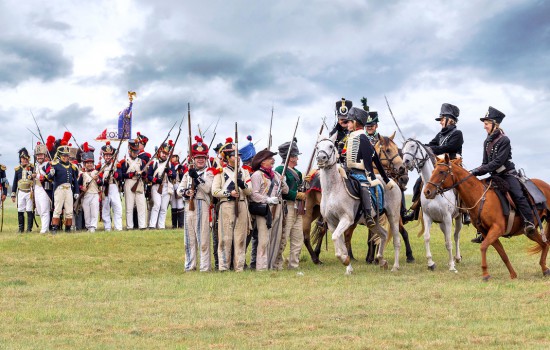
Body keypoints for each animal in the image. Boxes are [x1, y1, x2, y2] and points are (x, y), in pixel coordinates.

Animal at [404, 139, 464, 270]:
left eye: (413, 146)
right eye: (403, 147)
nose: (405, 162)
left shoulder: (447, 217)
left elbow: (449, 241)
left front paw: (452, 266)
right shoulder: (428, 217)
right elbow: (427, 237)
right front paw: (431, 263)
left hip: (457, 218)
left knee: (456, 236)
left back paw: (457, 257)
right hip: (441, 223)